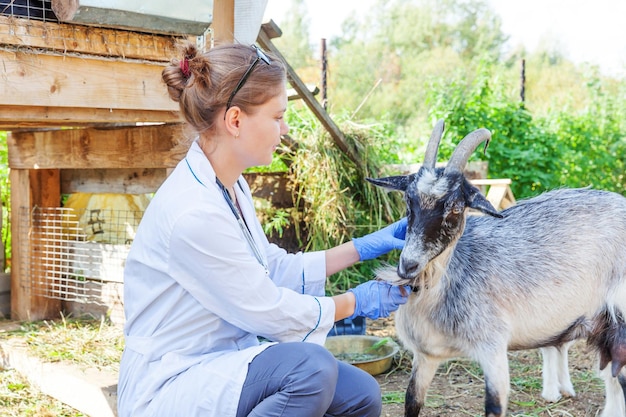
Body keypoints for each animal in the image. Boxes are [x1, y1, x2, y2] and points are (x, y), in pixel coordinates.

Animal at [368, 118, 624, 414]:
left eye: (456, 208)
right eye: (408, 201)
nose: (408, 265)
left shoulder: (493, 348)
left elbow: (494, 405)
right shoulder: (426, 355)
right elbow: (412, 401)